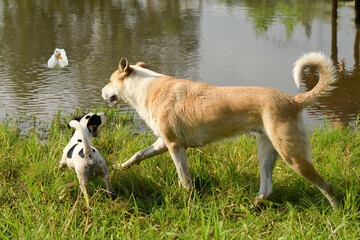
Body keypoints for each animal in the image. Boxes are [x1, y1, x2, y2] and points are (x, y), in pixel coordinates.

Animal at [102, 53, 340, 209]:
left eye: (110, 80)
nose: (102, 92)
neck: (146, 86)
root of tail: (294, 100)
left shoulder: (174, 146)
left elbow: (184, 179)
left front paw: (187, 200)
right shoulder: (163, 142)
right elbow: (138, 155)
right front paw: (119, 167)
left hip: (292, 155)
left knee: (327, 186)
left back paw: (337, 215)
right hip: (266, 151)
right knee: (267, 189)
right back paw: (249, 208)